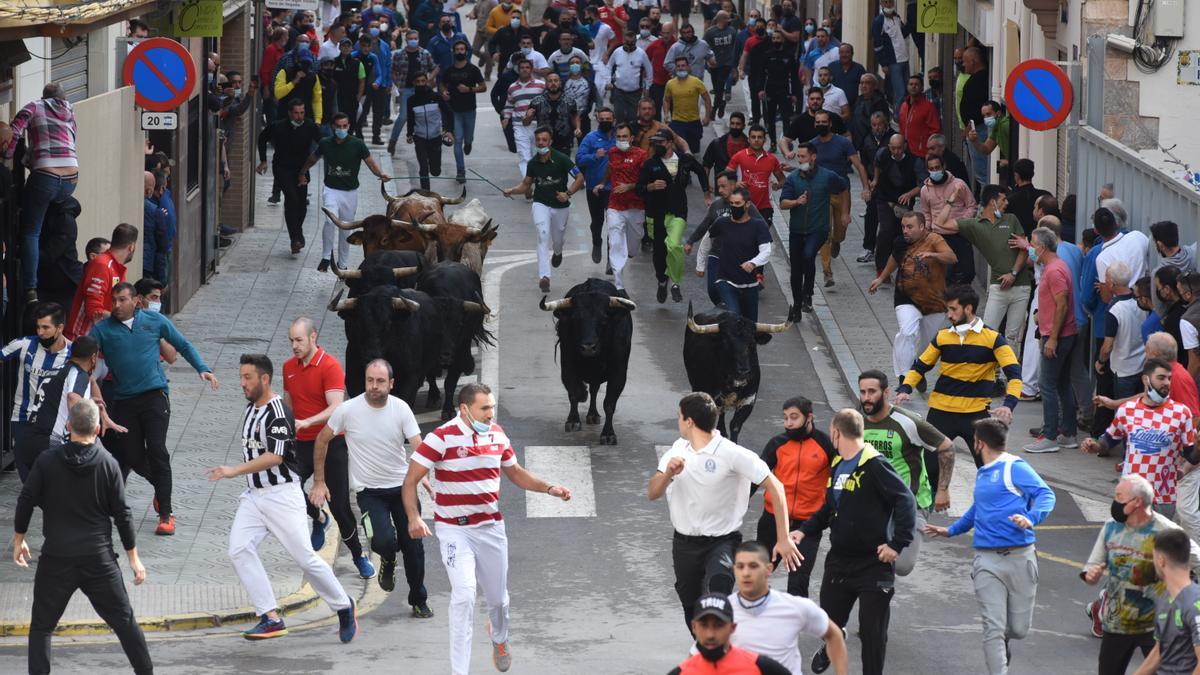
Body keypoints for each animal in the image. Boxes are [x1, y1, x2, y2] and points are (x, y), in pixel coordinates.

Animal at [542, 276, 638, 444]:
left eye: (604, 320)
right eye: (575, 319)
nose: (588, 347)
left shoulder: (619, 372)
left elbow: (609, 402)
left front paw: (608, 434)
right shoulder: (567, 365)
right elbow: (574, 392)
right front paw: (573, 420)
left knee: (595, 390)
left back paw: (593, 414)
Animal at [686, 300, 796, 439]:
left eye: (752, 343)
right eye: (725, 343)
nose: (743, 371)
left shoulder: (749, 399)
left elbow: (735, 425)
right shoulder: (715, 399)